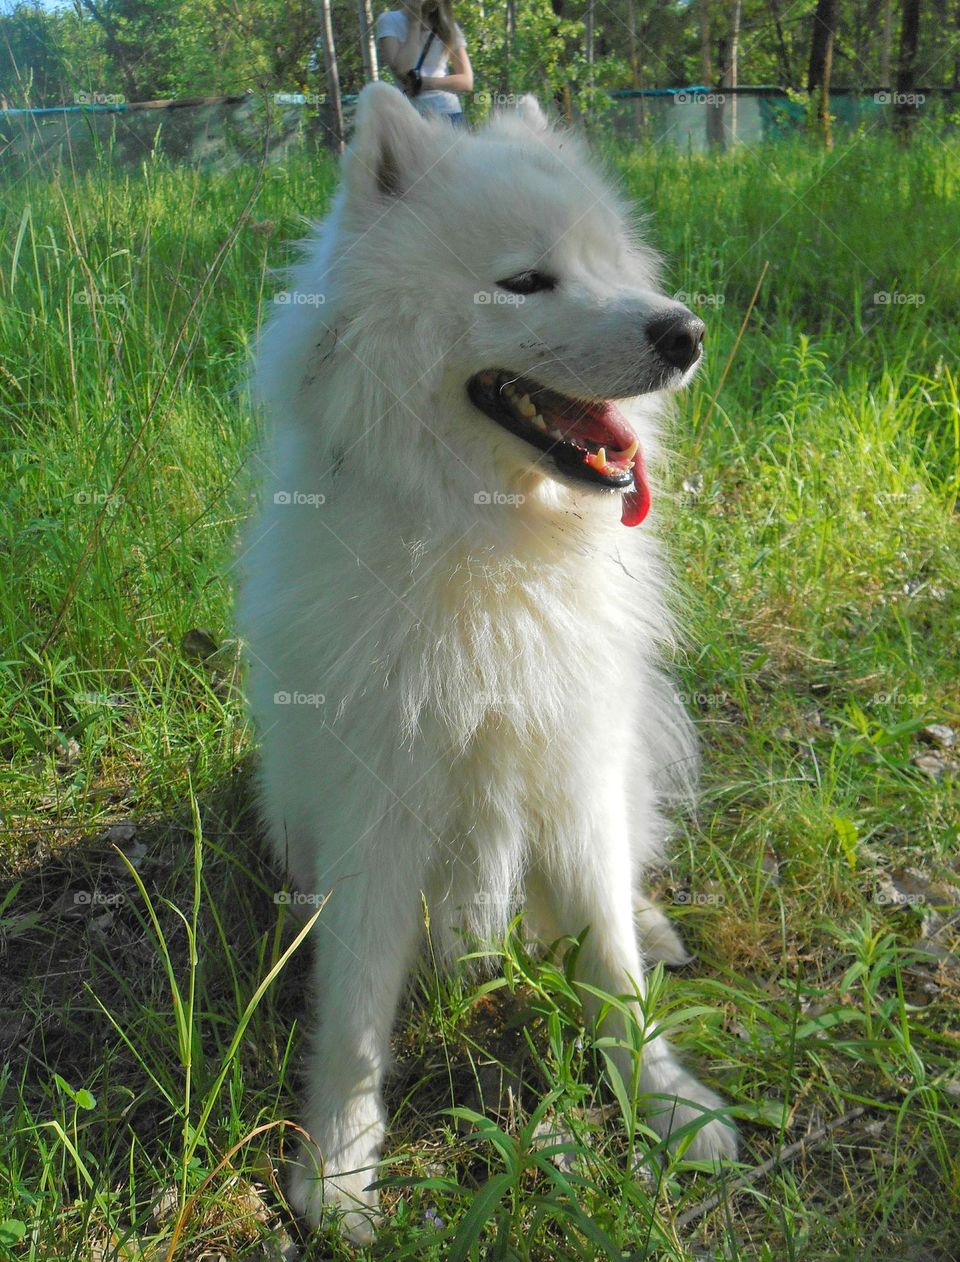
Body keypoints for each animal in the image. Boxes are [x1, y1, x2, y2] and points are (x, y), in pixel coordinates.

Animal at [238, 81, 731, 1241]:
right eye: (525, 280)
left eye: (611, 268)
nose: (685, 330)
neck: (489, 541)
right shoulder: (378, 803)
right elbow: (356, 1010)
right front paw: (338, 1171)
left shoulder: (576, 768)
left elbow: (610, 964)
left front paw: (668, 1103)